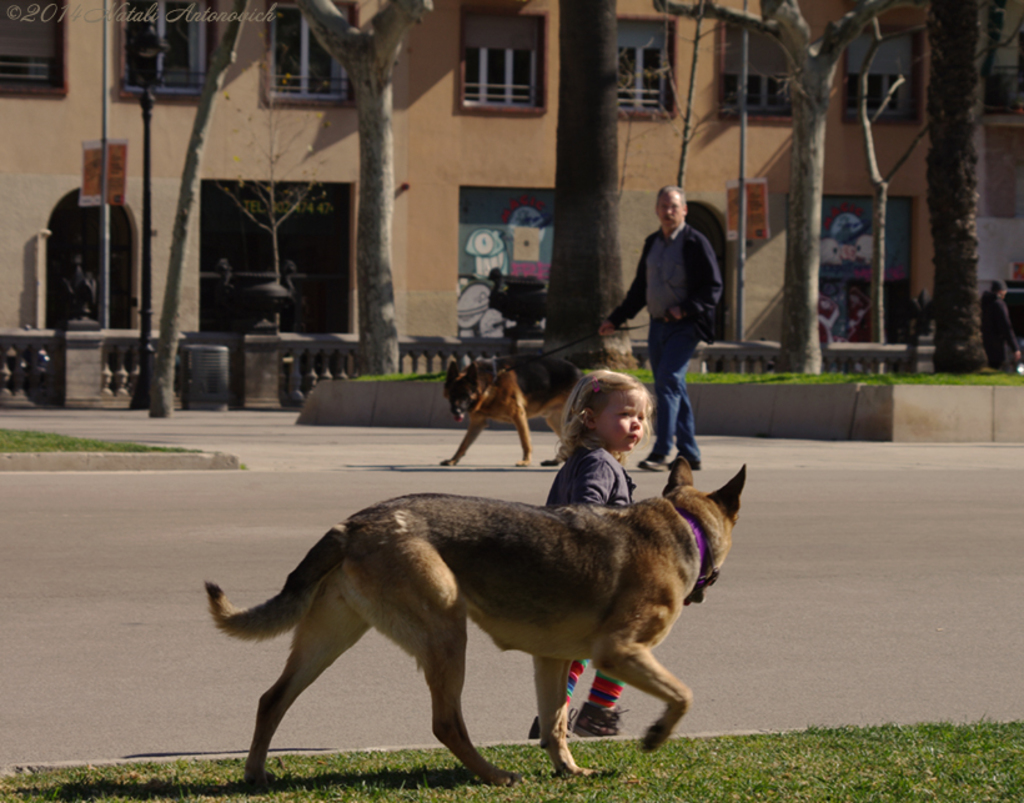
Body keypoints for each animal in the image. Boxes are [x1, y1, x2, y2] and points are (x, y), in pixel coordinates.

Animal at [203, 460, 749, 786]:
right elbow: (683, 695)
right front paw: (655, 735)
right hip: (447, 632)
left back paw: (254, 775)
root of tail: (354, 524)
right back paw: (495, 775)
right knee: (446, 723)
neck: (684, 526)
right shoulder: (619, 651)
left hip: (329, 639)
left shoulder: (551, 660)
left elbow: (555, 724)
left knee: (272, 699)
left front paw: (569, 770)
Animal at [442, 356, 585, 467]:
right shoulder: (477, 422)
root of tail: (582, 373)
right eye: (452, 395)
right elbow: (464, 443)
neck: (490, 383)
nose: (456, 411)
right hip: (554, 420)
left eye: (465, 395)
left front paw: (526, 461)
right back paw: (555, 461)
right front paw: (453, 460)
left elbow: (525, 441)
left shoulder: (518, 414)